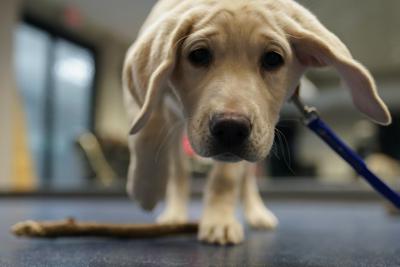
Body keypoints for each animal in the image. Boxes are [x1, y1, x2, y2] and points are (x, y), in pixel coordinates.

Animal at [122, 0, 390, 245]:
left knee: (247, 178)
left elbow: (226, 178)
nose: (230, 129)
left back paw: (257, 213)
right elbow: (146, 127)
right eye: (198, 55)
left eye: (272, 59)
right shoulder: (139, 90)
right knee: (179, 170)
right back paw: (174, 213)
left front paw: (219, 221)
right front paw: (145, 188)